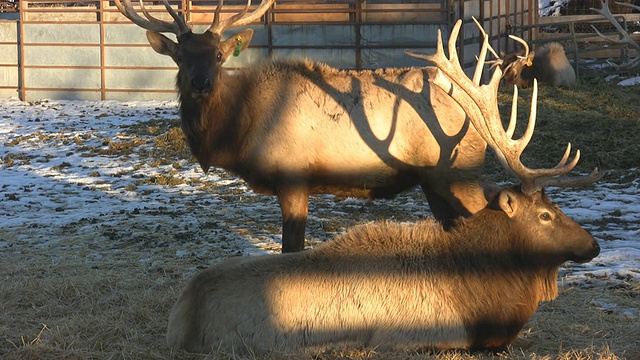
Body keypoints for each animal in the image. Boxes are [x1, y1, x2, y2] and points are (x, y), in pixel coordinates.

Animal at [115, 0, 500, 253]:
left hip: (459, 172)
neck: (239, 130)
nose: (201, 83)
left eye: (219, 56)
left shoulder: (294, 178)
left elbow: (292, 251)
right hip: (433, 181)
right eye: (180, 57)